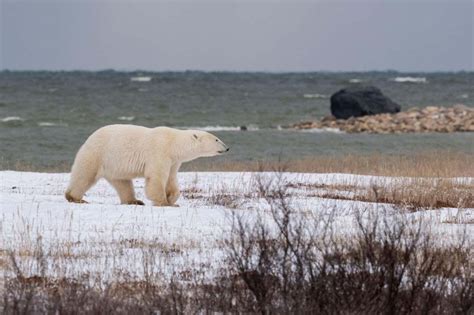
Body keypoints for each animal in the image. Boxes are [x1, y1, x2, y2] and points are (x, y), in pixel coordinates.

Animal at [65, 126, 230, 207]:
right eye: (217, 139)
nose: (227, 148)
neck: (174, 143)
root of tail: (89, 138)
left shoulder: (173, 161)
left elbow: (171, 179)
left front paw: (172, 198)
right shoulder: (160, 151)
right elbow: (156, 177)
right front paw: (164, 203)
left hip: (115, 166)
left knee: (123, 183)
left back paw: (134, 201)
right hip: (97, 153)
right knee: (85, 175)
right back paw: (75, 198)